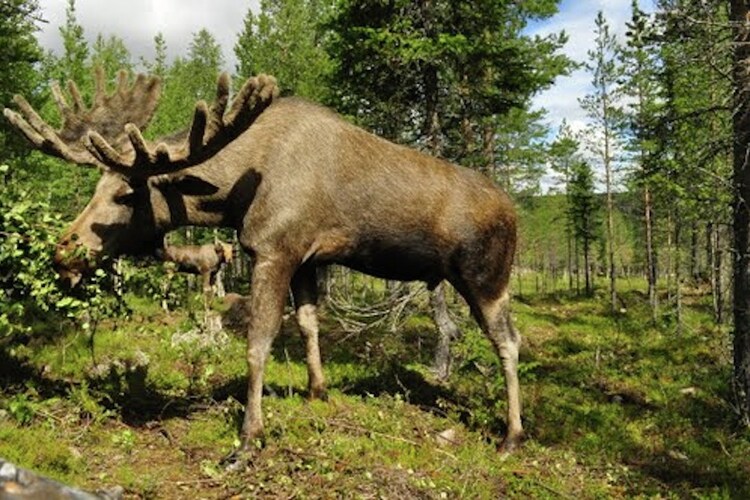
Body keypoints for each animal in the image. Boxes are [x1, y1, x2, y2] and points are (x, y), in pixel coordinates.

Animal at [2, 67, 524, 460]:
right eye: (97, 187)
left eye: (126, 194)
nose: (63, 251)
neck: (229, 197)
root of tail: (516, 210)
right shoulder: (307, 259)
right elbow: (309, 324)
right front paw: (317, 392)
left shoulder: (273, 251)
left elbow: (258, 343)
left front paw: (249, 438)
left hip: (485, 275)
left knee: (508, 342)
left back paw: (512, 435)